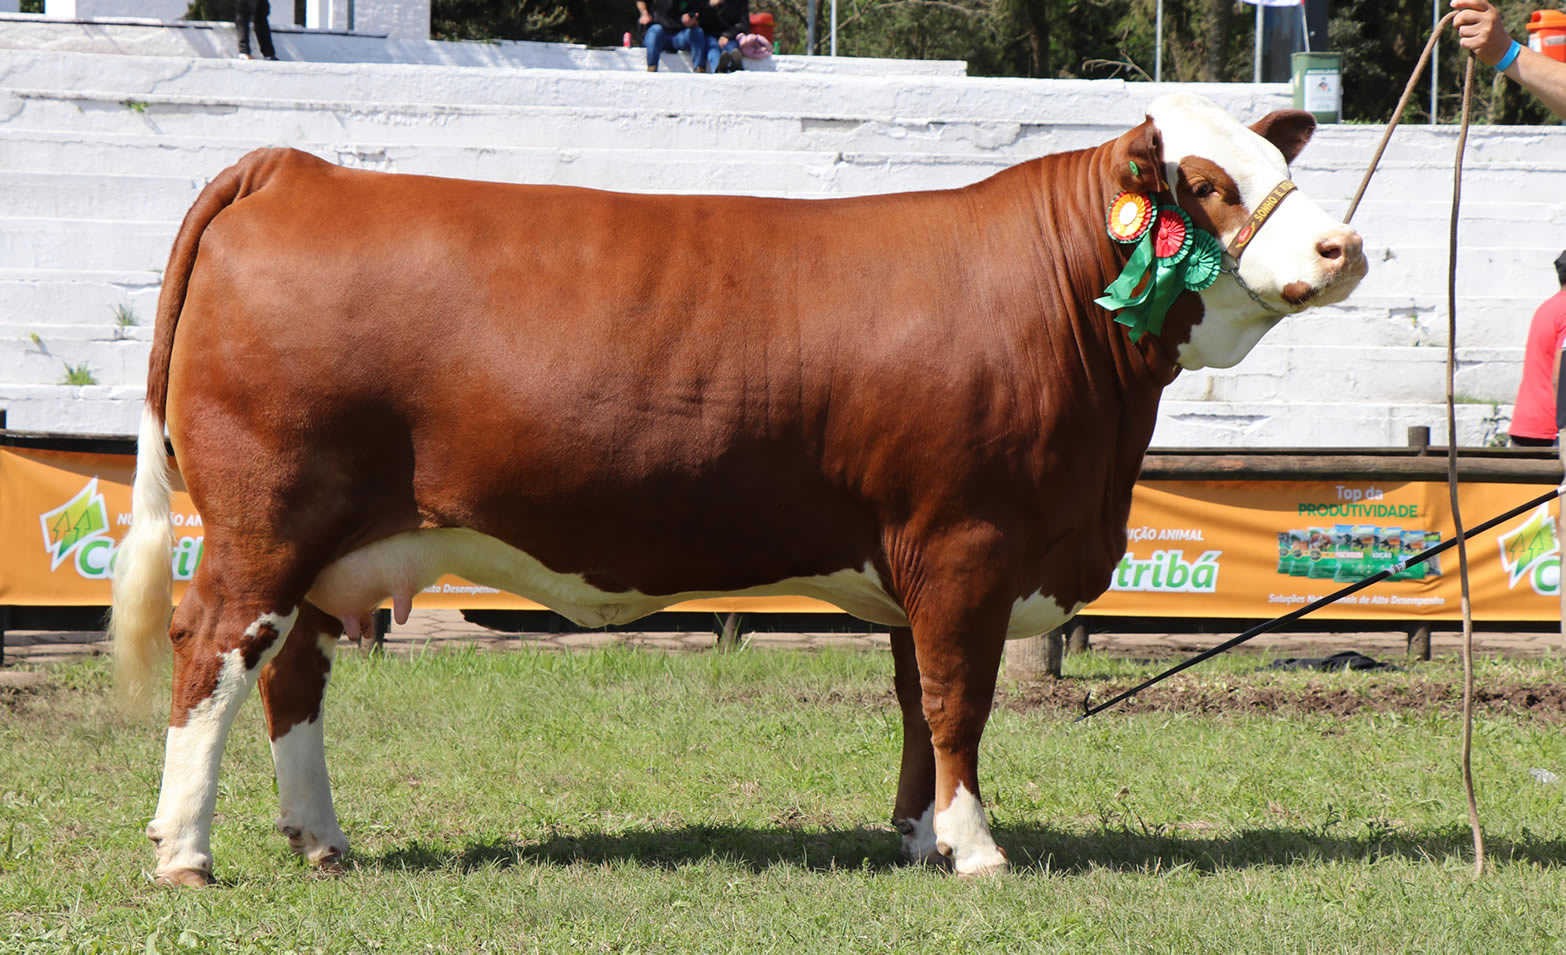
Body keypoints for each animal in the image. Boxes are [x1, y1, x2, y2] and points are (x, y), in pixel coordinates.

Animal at [110, 93, 1365, 882]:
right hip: (266, 520)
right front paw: (975, 848)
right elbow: (958, 701)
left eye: (1285, 168)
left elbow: (913, 702)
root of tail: (294, 171)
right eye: (1203, 183)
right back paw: (185, 853)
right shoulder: (967, 542)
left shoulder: (913, 552)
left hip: (331, 545)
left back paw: (319, 839)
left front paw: (916, 834)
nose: (1345, 246)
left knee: (293, 674)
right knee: (213, 650)